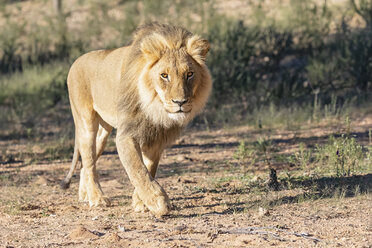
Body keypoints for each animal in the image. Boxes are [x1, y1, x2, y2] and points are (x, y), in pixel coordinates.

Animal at [61, 23, 212, 217]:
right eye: (164, 75)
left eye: (190, 74)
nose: (180, 102)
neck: (155, 108)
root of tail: (76, 61)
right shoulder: (126, 134)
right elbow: (138, 169)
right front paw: (158, 202)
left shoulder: (156, 139)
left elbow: (149, 169)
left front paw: (141, 202)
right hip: (86, 123)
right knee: (88, 162)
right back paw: (97, 198)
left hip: (103, 133)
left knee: (86, 163)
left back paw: (84, 195)